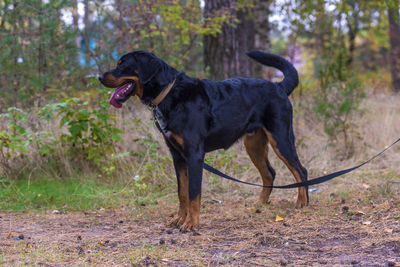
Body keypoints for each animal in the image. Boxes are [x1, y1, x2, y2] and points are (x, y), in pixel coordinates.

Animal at [98, 50, 308, 232]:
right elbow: (182, 192)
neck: (170, 94)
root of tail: (279, 87)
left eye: (122, 64)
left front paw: (191, 224)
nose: (99, 77)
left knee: (301, 171)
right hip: (254, 145)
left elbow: (193, 193)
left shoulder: (194, 155)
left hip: (280, 139)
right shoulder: (178, 156)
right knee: (269, 173)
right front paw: (180, 219)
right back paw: (260, 204)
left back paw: (302, 203)